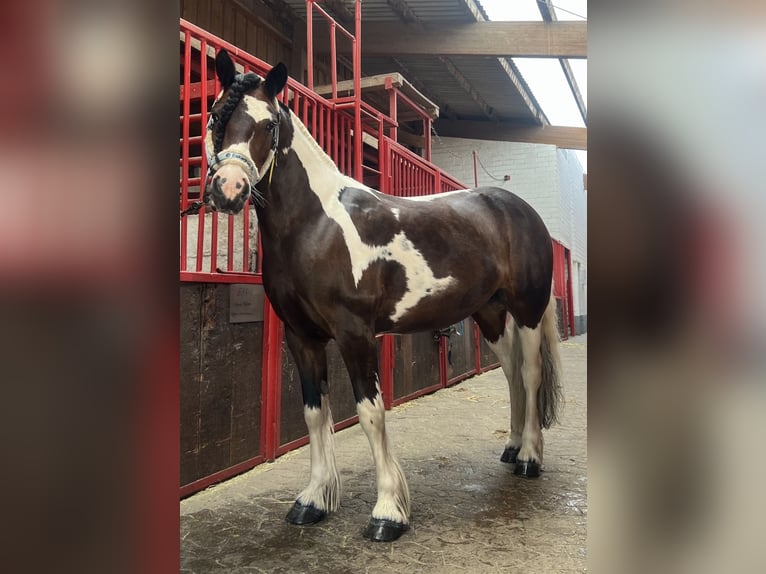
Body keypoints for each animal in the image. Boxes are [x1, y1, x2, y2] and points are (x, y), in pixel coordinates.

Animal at [202, 49, 562, 542]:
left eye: (269, 123)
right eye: (217, 113)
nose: (229, 189)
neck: (315, 225)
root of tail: (521, 209)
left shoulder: (355, 335)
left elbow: (370, 413)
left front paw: (388, 512)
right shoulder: (301, 337)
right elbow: (314, 414)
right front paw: (313, 500)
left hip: (526, 310)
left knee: (529, 372)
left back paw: (529, 457)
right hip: (488, 314)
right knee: (510, 373)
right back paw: (510, 447)